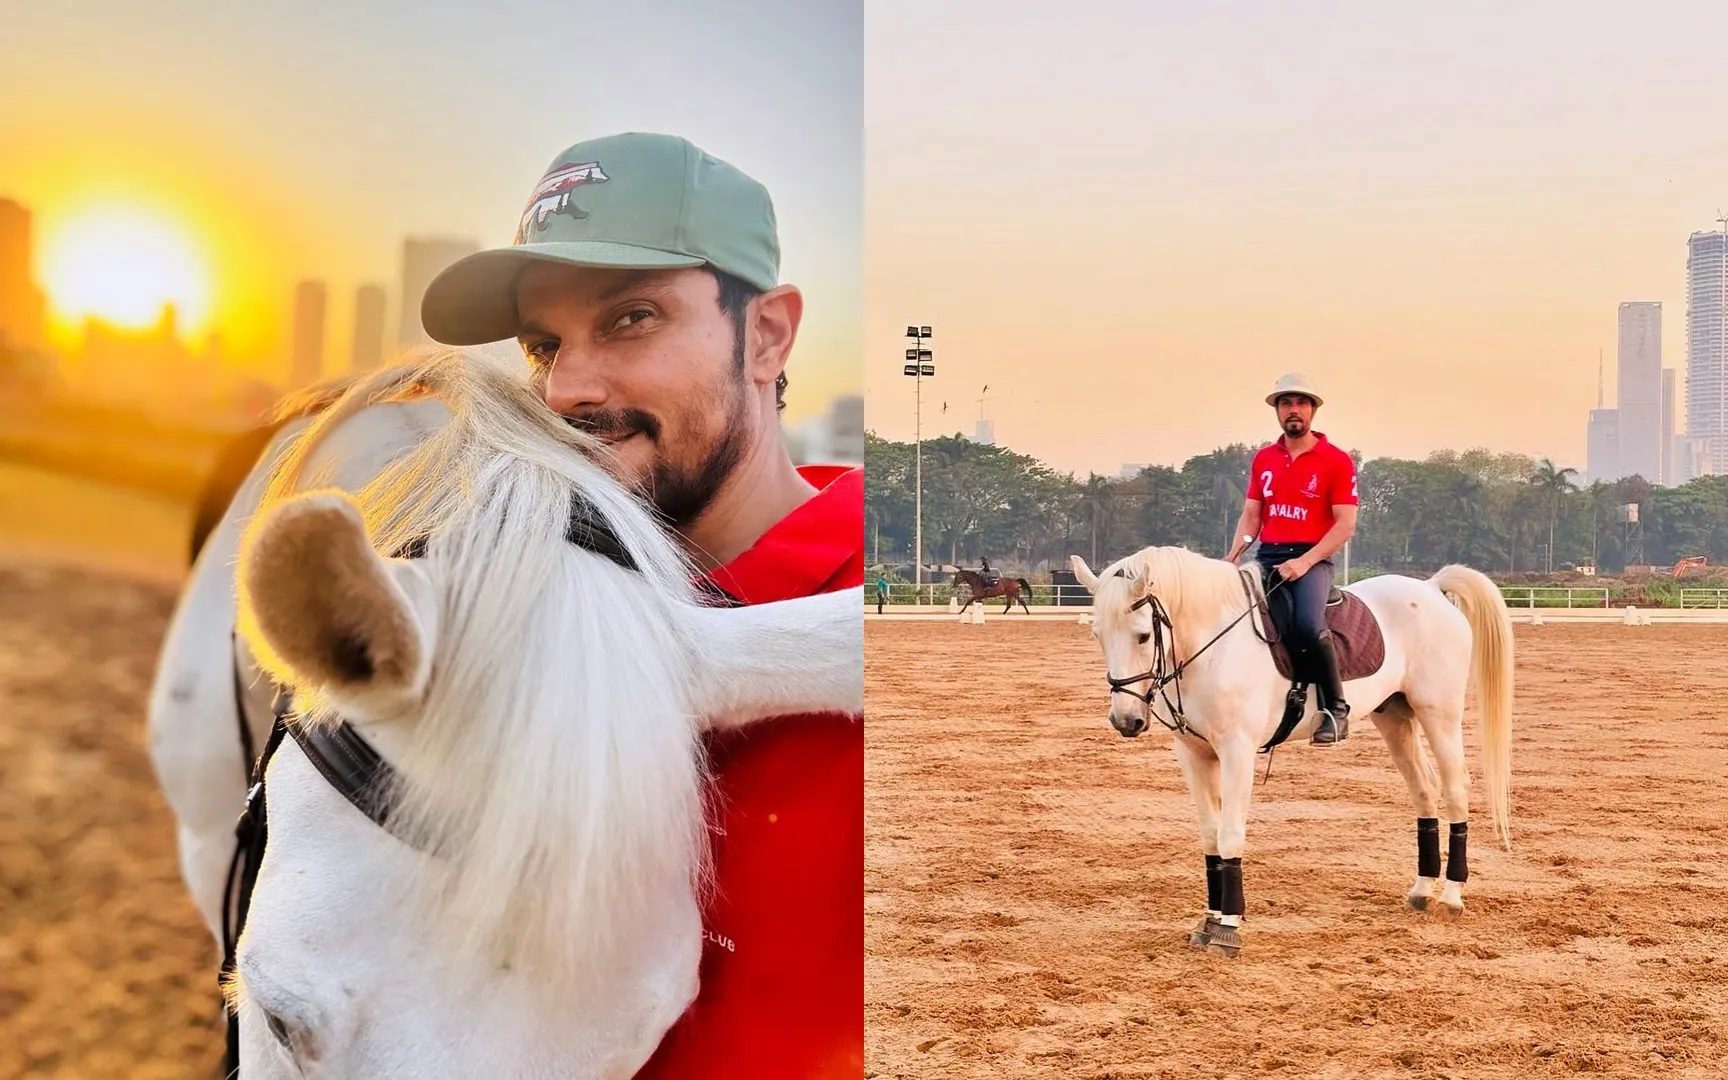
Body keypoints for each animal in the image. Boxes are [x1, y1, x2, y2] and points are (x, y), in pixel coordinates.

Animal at [1070, 547, 1513, 958]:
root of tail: (1430, 588)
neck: (1210, 647)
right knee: (1423, 790)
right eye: (1098, 635)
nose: (1126, 720)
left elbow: (1230, 836)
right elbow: (1211, 837)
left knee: (1455, 789)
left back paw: (1451, 894)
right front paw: (1209, 920)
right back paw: (1422, 888)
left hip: (1439, 714)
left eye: (1143, 635)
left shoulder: (1238, 751)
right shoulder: (1194, 753)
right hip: (1395, 717)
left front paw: (1228, 927)